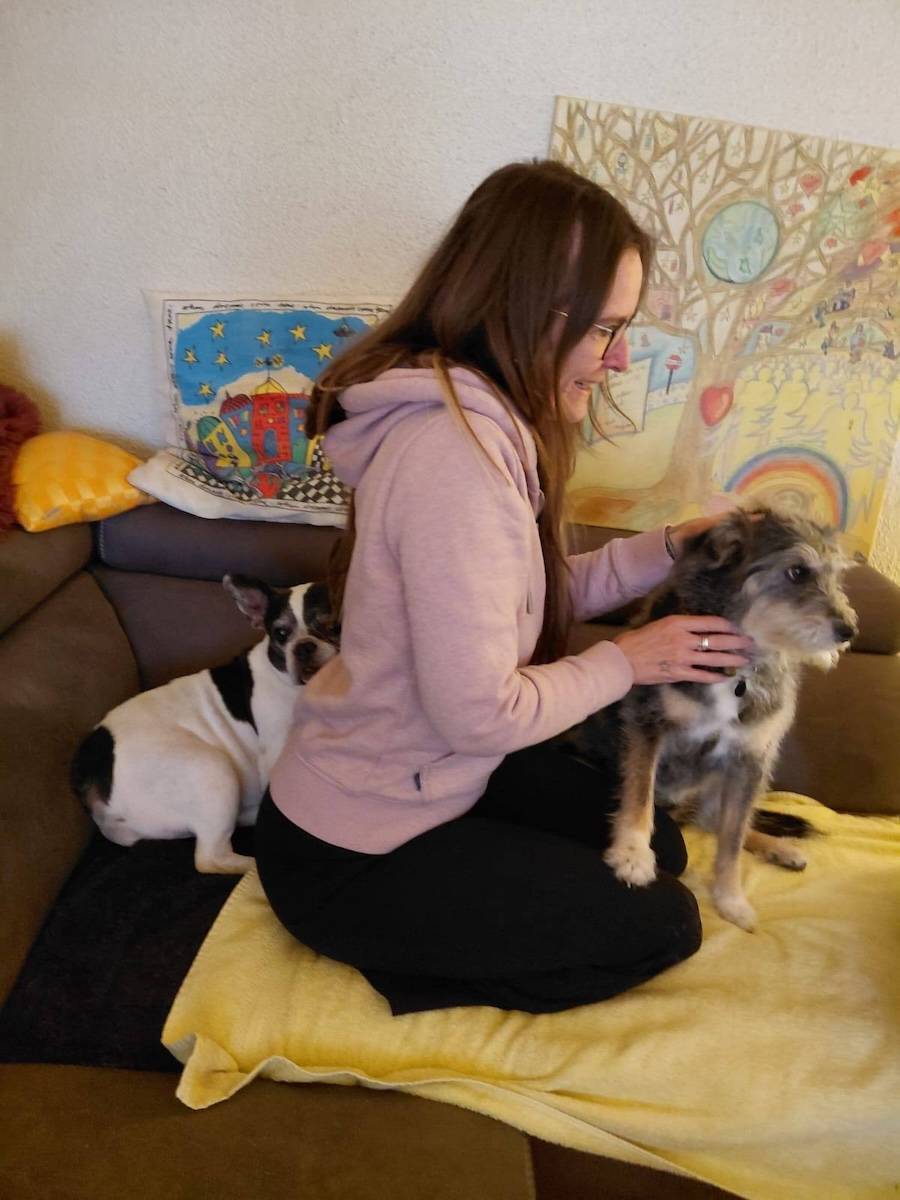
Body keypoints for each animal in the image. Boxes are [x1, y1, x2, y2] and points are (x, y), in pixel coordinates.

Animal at [71, 575, 338, 874]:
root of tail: (90, 773)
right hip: (211, 768)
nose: (303, 646)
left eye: (334, 627)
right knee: (211, 857)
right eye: (281, 634)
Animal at [565, 506, 858, 931]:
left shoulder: (749, 760)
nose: (848, 630)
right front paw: (632, 855)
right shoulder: (647, 724)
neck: (740, 667)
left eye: (837, 576)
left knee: (722, 823)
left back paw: (779, 847)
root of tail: (680, 810)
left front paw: (731, 899)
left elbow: (732, 841)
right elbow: (639, 796)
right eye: (797, 571)